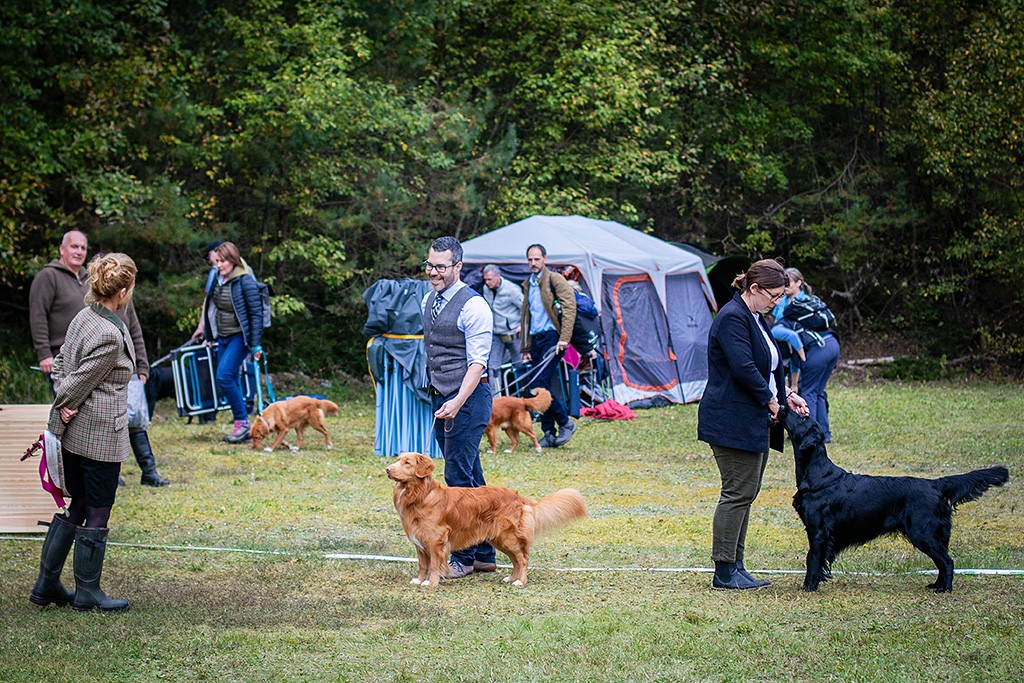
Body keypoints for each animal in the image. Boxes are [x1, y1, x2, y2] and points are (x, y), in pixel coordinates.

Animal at [387, 454, 589, 589]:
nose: (387, 469)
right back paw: (511, 578)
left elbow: (435, 564)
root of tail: (519, 497)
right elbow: (423, 564)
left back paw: (520, 581)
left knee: (523, 558)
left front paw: (431, 582)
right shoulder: (420, 540)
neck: (420, 494)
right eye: (398, 459)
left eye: (407, 463)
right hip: (500, 539)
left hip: (508, 537)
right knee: (516, 560)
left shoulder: (436, 539)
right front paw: (420, 579)